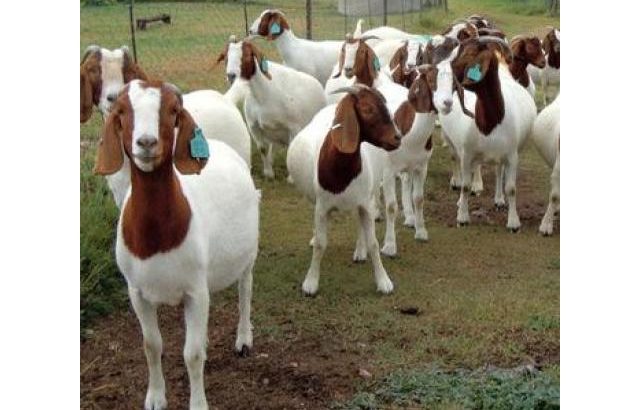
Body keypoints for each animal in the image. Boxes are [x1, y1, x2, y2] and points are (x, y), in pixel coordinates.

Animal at [93, 80, 260, 410]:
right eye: (122, 111)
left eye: (172, 110)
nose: (146, 143)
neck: (157, 239)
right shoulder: (138, 292)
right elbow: (151, 345)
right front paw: (156, 397)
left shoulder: (194, 291)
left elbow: (192, 356)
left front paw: (198, 404)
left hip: (248, 253)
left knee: (245, 288)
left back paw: (243, 338)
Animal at [218, 37, 326, 180]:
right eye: (226, 57)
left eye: (247, 55)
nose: (231, 75)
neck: (263, 95)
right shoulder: (254, 126)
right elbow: (263, 148)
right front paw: (269, 173)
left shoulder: (294, 127)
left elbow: (291, 151)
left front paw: (291, 179)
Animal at [286, 85, 401, 295]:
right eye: (368, 109)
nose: (397, 138)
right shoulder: (322, 207)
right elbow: (321, 244)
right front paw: (311, 283)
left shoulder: (364, 203)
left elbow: (373, 243)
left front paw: (383, 281)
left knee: (359, 222)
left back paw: (360, 251)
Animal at [432, 36, 537, 231]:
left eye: (471, 53)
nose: (442, 69)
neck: (489, 122)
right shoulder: (467, 152)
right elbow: (465, 186)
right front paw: (462, 217)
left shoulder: (512, 155)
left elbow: (511, 188)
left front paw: (513, 222)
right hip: (453, 142)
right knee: (457, 161)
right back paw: (459, 193)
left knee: (498, 170)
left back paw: (498, 199)